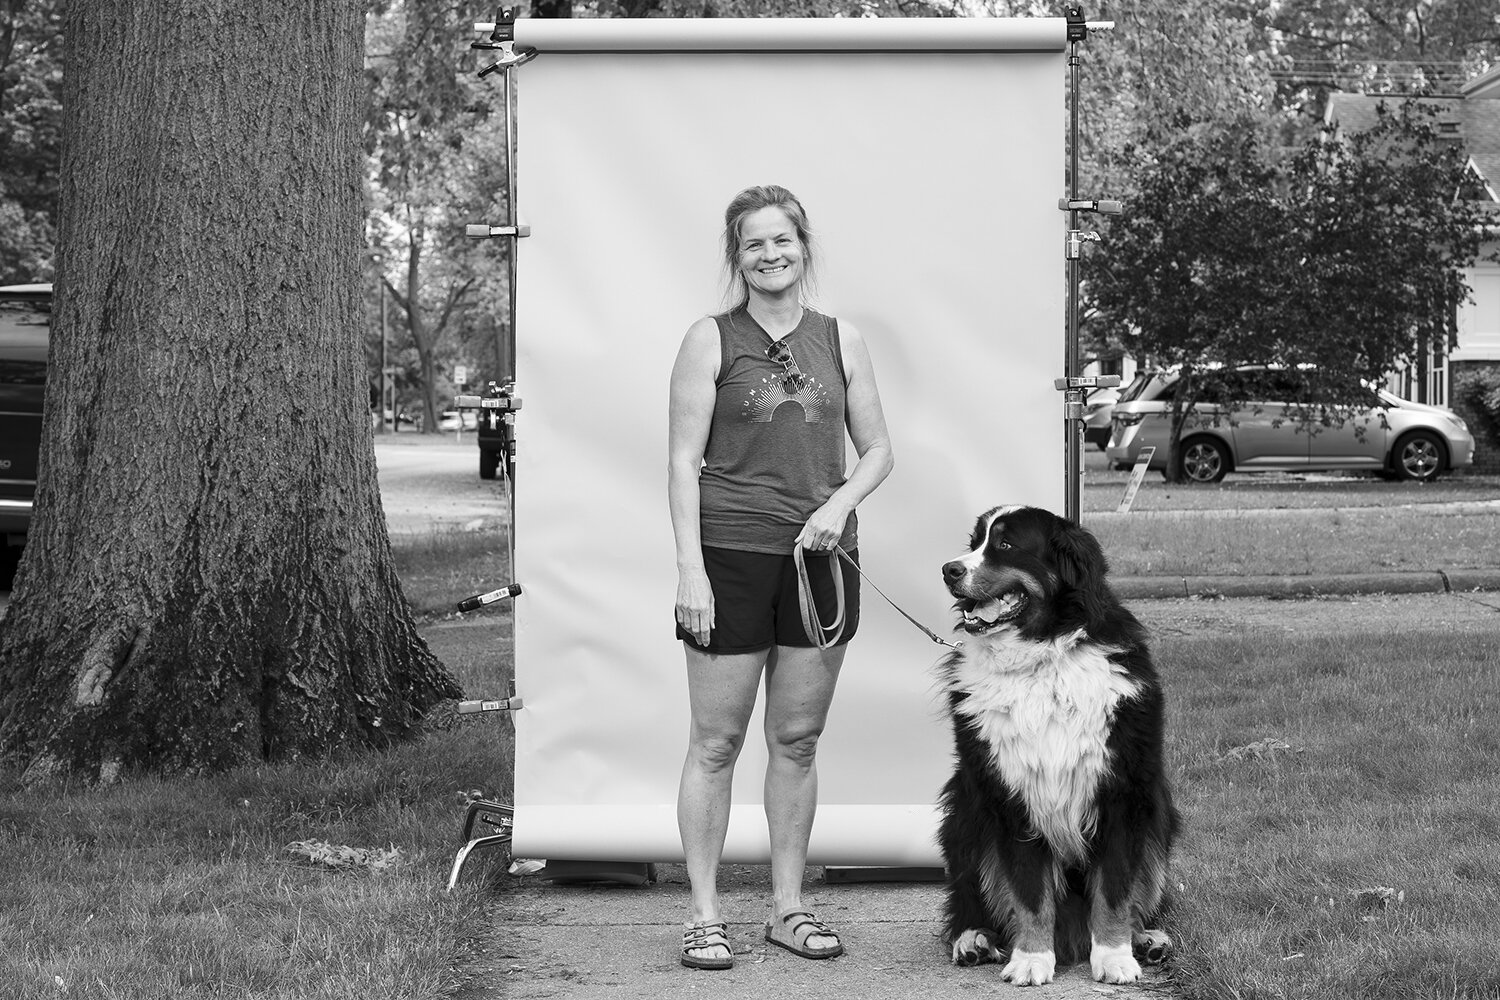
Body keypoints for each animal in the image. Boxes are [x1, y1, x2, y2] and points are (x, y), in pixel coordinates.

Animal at [930, 503, 1176, 989]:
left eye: (1005, 544)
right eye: (974, 543)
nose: (949, 569)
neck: (1041, 661)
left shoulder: (1122, 794)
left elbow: (1115, 889)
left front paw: (1115, 956)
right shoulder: (1012, 796)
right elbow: (1028, 892)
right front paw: (1031, 959)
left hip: (1159, 813)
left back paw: (1147, 938)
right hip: (964, 814)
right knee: (970, 898)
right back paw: (973, 939)